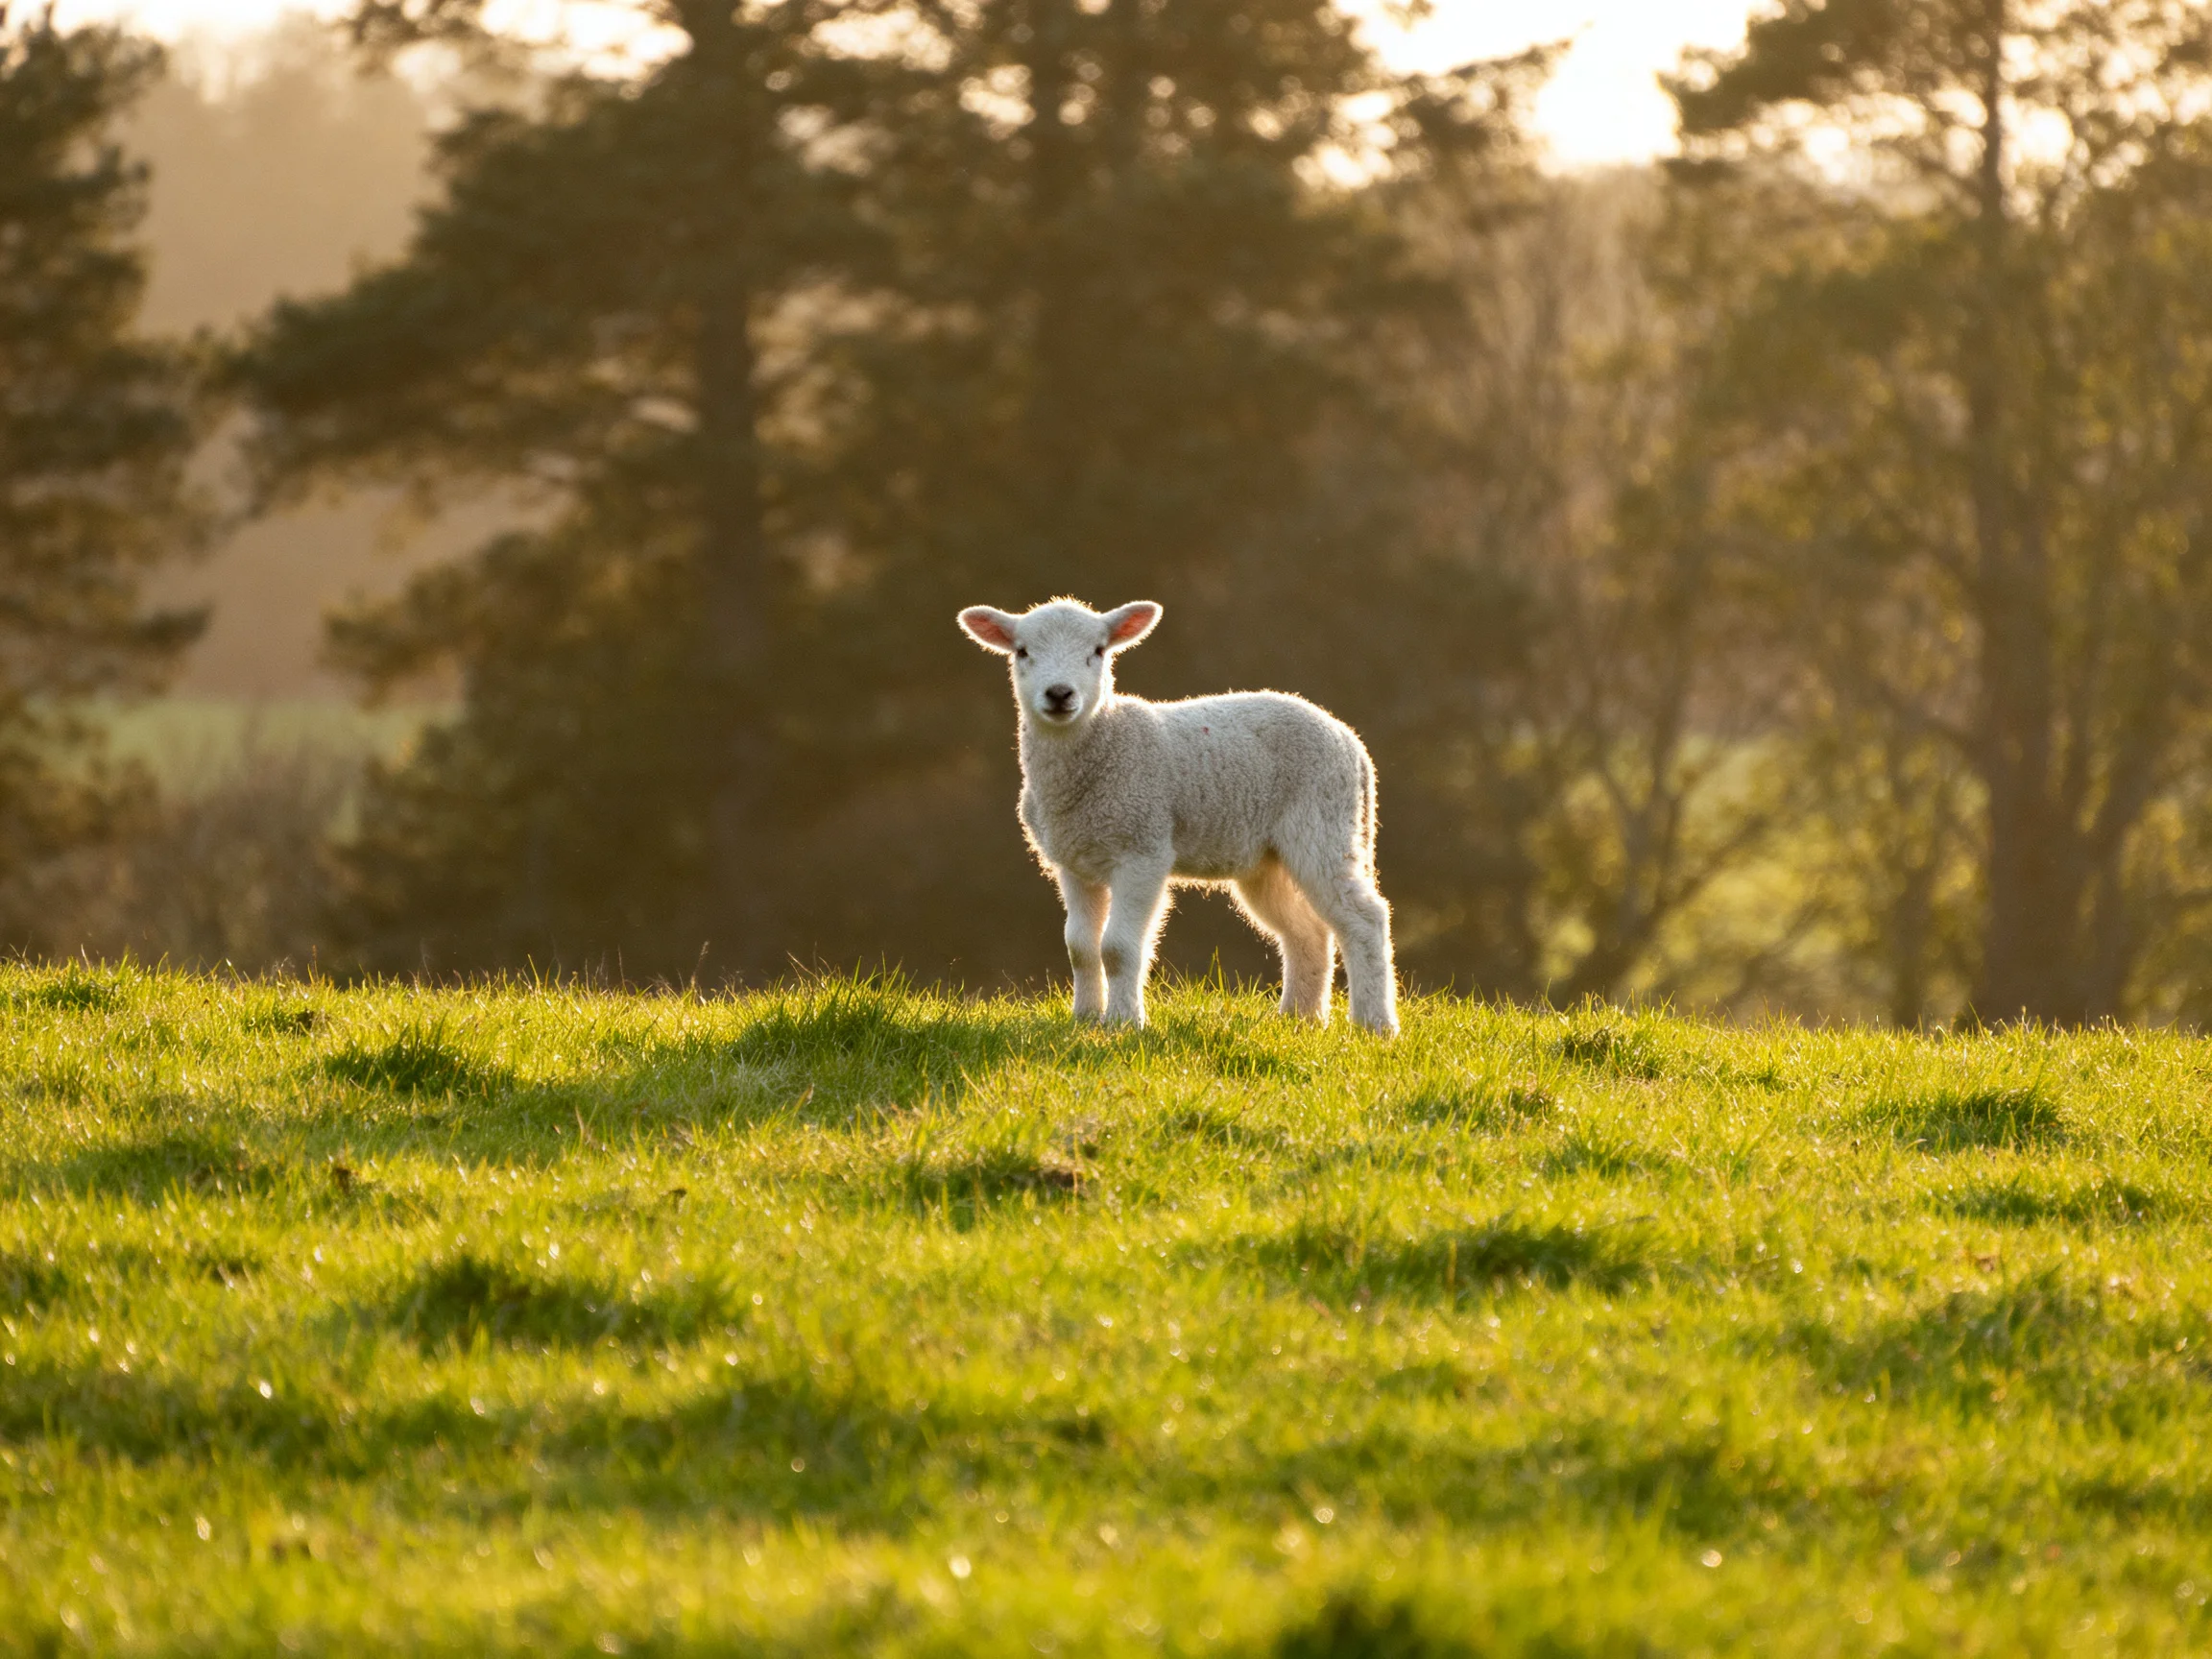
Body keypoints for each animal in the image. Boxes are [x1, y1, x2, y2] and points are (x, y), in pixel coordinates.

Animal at [957, 597, 1399, 1036]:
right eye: (1022, 652)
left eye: (1098, 651)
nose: (1060, 693)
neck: (1103, 745)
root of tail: (1351, 742)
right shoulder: (1075, 862)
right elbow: (1080, 947)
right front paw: (1084, 1019)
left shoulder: (1143, 850)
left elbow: (1117, 948)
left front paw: (1122, 1022)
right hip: (1268, 859)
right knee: (1307, 931)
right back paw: (1299, 1019)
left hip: (1323, 823)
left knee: (1365, 919)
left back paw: (1374, 1024)